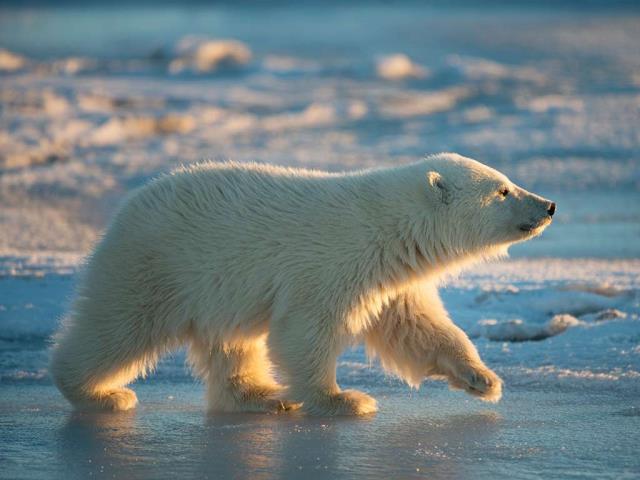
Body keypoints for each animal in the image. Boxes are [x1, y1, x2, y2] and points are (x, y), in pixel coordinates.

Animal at [50, 153, 555, 415]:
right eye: (503, 190)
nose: (549, 205)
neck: (388, 226)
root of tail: (125, 207)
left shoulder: (391, 278)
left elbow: (418, 329)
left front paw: (483, 379)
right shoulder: (332, 263)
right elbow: (305, 332)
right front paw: (344, 399)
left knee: (232, 343)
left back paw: (263, 397)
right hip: (156, 264)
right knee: (118, 328)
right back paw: (101, 393)